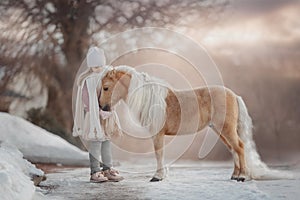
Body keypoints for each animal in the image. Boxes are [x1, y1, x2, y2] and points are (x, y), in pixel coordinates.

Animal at [99, 66, 278, 183]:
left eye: (106, 87)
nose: (101, 107)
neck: (150, 98)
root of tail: (234, 95)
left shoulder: (158, 134)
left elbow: (159, 154)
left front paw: (157, 176)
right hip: (221, 130)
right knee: (233, 149)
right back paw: (235, 175)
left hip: (226, 129)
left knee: (240, 147)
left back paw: (242, 176)